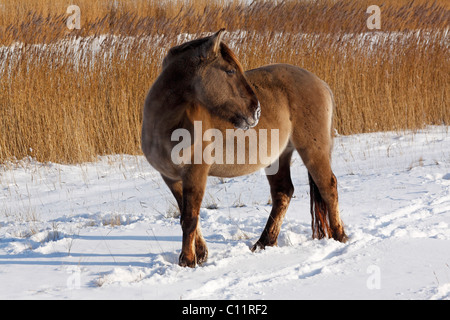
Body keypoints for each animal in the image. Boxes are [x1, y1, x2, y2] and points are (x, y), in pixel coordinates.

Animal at [142, 29, 346, 268]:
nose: (256, 111)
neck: (166, 124)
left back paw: (340, 237)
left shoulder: (195, 173)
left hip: (313, 151)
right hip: (278, 158)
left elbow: (190, 218)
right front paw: (200, 255)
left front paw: (188, 261)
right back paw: (264, 243)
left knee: (328, 187)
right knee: (283, 193)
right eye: (230, 70)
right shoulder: (171, 178)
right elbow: (187, 215)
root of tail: (321, 83)